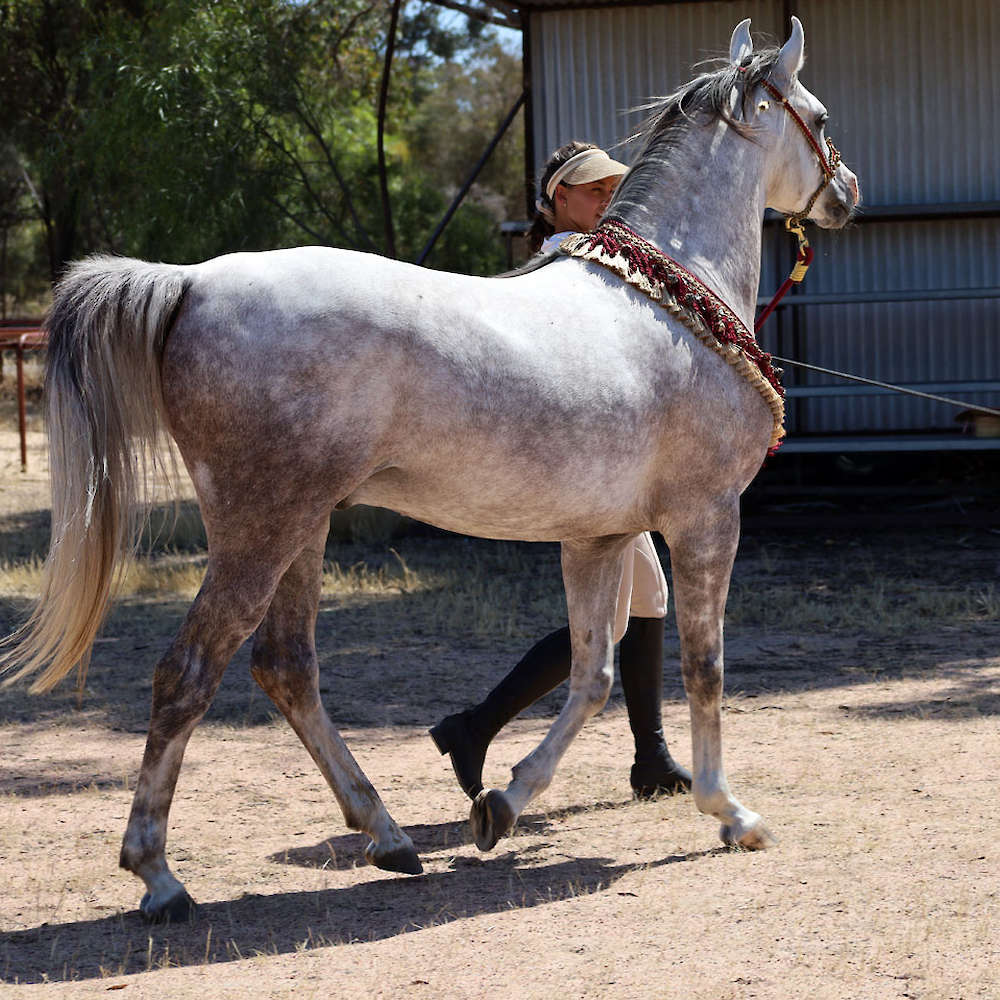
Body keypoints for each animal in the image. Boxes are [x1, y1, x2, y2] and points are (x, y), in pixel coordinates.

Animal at [2, 17, 858, 922]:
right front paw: (730, 812)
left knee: (286, 667)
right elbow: (704, 665)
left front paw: (502, 804)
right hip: (260, 531)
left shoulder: (597, 538)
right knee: (188, 674)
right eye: (819, 117)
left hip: (303, 528)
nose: (848, 191)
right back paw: (159, 876)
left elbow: (591, 672)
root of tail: (191, 282)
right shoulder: (706, 518)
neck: (669, 301)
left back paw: (388, 836)